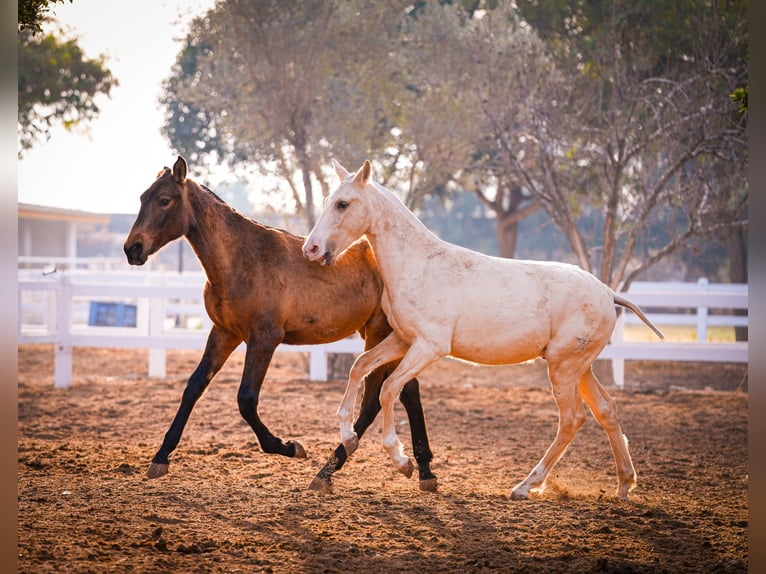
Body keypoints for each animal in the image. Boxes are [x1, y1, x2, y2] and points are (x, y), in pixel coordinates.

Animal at [125, 158, 438, 496]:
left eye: (164, 200)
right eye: (142, 197)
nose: (132, 249)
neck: (242, 259)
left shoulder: (264, 339)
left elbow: (246, 400)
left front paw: (289, 446)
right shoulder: (224, 333)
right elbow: (193, 387)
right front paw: (160, 457)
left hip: (379, 334)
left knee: (374, 398)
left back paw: (333, 468)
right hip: (385, 337)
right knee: (407, 391)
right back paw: (422, 470)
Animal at [302, 160, 664, 502]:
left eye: (343, 204)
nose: (312, 249)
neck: (419, 266)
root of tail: (608, 293)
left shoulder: (429, 347)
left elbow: (388, 390)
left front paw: (401, 460)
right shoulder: (403, 340)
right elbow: (359, 367)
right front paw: (348, 434)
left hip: (564, 368)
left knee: (572, 419)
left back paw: (525, 486)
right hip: (580, 368)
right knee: (606, 410)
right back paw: (623, 486)